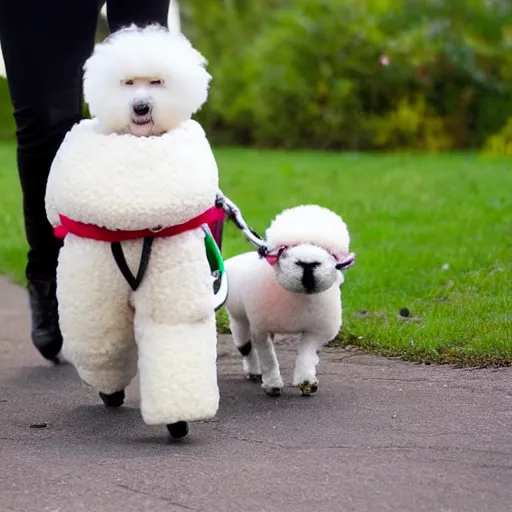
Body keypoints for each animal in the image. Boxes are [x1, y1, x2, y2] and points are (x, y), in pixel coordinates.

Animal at [44, 15, 220, 436]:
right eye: (127, 83)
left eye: (157, 82)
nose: (141, 106)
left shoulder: (173, 286)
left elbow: (174, 334)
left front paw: (178, 417)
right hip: (91, 294)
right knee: (101, 343)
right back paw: (109, 389)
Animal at [226, 204, 354, 396]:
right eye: (285, 250)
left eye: (329, 253)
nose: (308, 264)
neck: (300, 295)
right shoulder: (261, 329)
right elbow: (268, 358)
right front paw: (273, 385)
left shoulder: (316, 330)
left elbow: (307, 355)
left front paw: (307, 382)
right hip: (240, 319)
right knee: (246, 348)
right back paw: (254, 372)